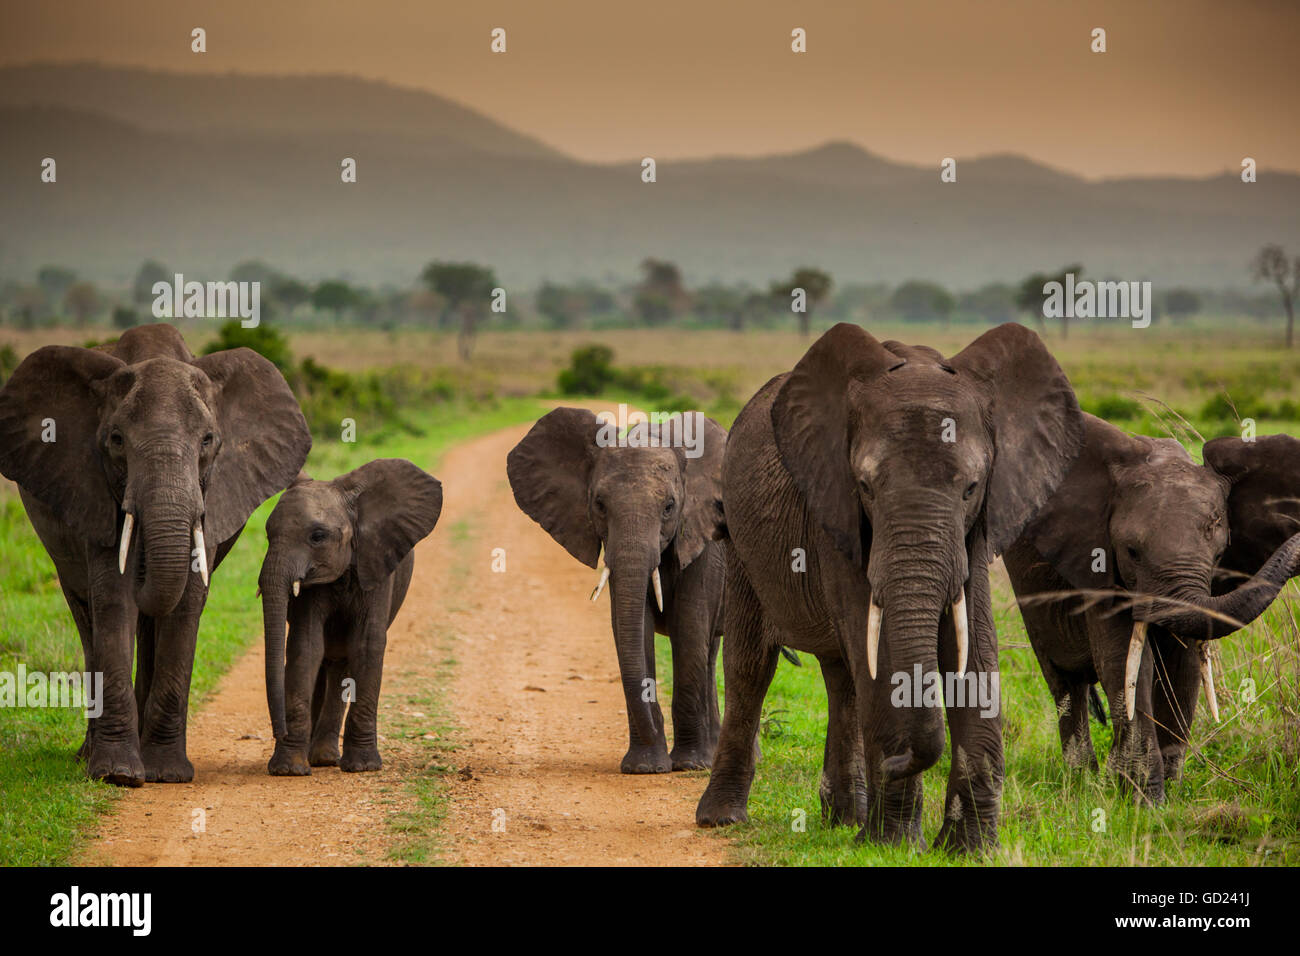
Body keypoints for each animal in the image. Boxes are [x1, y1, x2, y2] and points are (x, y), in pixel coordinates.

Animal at [0, 321, 312, 785]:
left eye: (208, 440)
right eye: (116, 440)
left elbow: (186, 601)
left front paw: (166, 773)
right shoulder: (92, 485)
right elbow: (114, 595)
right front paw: (117, 774)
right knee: (86, 614)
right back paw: (88, 756)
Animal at [256, 457, 444, 780]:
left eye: (317, 537)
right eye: (268, 534)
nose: (279, 732)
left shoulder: (377, 564)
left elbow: (366, 645)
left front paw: (363, 767)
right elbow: (306, 646)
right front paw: (289, 770)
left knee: (341, 662)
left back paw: (324, 757)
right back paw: (317, 758)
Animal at [506, 408, 733, 775]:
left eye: (669, 506)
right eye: (599, 504)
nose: (655, 726)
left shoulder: (702, 536)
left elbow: (689, 625)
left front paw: (688, 765)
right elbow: (633, 626)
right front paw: (645, 767)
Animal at [696, 323, 1081, 853]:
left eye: (971, 488)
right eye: (866, 487)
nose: (897, 761)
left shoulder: (979, 527)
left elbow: (976, 645)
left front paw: (969, 848)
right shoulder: (835, 511)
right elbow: (879, 653)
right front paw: (894, 843)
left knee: (843, 679)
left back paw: (845, 817)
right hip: (738, 537)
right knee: (753, 664)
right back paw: (723, 818)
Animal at [1003, 416, 1300, 796]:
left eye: (1219, 553)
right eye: (1131, 552)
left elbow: (1183, 666)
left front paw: (1167, 792)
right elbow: (1123, 664)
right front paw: (1143, 798)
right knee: (1065, 682)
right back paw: (1081, 780)